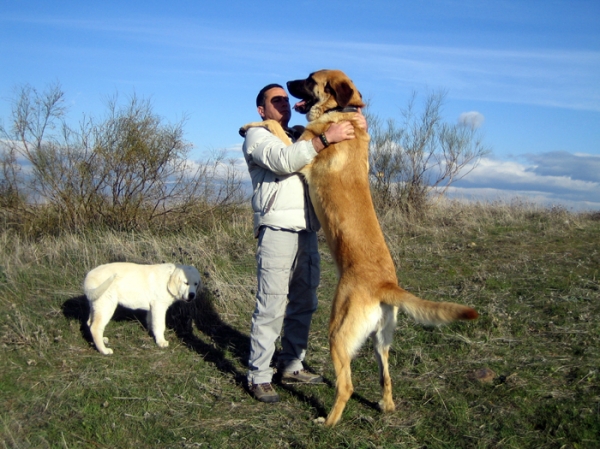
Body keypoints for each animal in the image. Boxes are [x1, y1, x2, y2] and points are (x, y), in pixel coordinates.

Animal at [239, 68, 478, 426]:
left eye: (309, 79)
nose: (287, 83)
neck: (344, 113)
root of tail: (385, 285)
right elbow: (288, 130)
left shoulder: (302, 158)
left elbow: (277, 130)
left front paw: (250, 126)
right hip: (382, 341)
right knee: (386, 377)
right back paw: (385, 405)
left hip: (337, 333)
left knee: (347, 386)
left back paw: (328, 422)